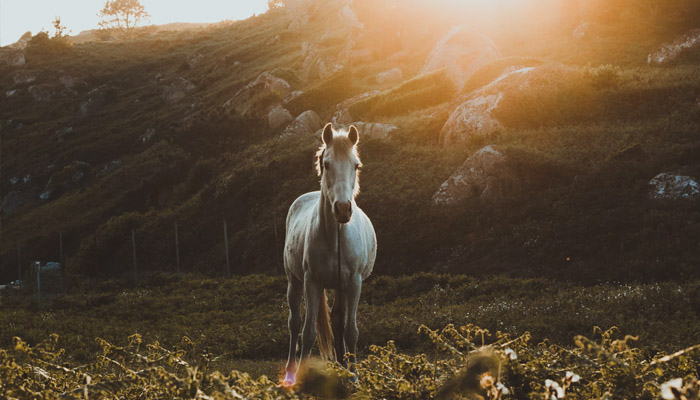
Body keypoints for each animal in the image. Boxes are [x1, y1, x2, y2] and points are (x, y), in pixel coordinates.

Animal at [282, 122, 378, 384]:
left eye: (356, 165)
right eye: (326, 164)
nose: (343, 209)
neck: (335, 238)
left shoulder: (353, 283)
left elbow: (350, 331)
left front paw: (354, 377)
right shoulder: (312, 282)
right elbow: (308, 333)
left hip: (340, 287)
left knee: (337, 323)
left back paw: (342, 367)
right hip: (294, 281)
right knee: (294, 324)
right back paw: (290, 372)